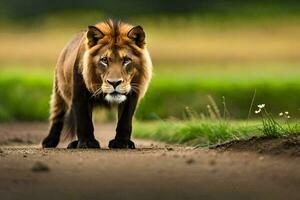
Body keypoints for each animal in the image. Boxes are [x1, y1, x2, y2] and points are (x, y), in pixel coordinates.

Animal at [41, 19, 152, 148]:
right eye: (104, 60)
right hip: (59, 90)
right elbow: (84, 120)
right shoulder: (80, 95)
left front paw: (121, 143)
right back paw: (50, 141)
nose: (114, 83)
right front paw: (87, 143)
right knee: (57, 114)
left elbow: (125, 120)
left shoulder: (132, 94)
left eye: (126, 60)